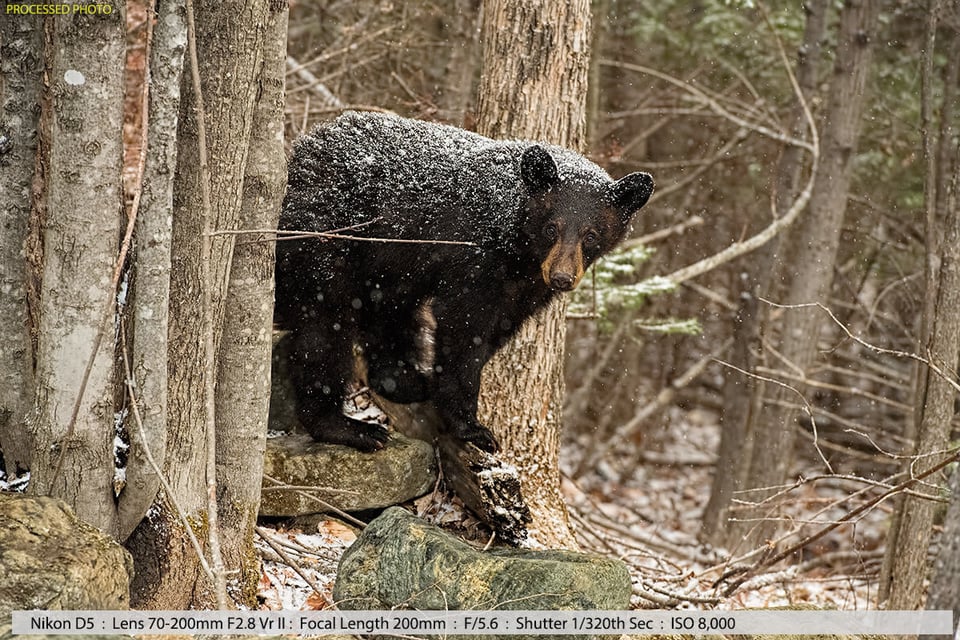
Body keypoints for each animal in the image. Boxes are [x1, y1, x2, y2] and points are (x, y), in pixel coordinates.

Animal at [274, 112, 656, 452]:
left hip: (386, 262)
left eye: (591, 235)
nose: (561, 278)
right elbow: (465, 329)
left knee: (390, 313)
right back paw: (348, 427)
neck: (517, 250)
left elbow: (499, 329)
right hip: (325, 238)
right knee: (324, 326)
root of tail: (300, 154)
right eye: (552, 228)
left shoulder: (526, 288)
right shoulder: (474, 259)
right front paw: (471, 426)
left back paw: (405, 380)